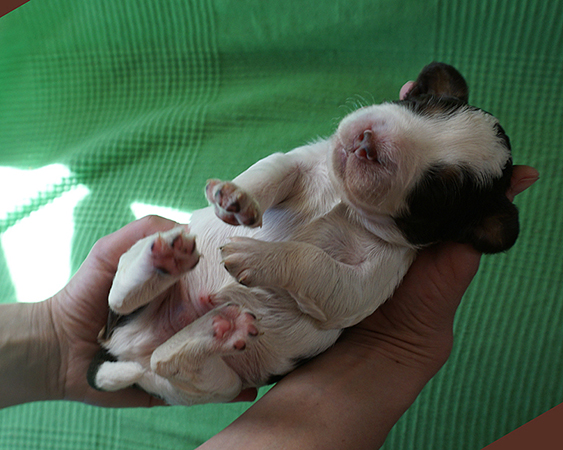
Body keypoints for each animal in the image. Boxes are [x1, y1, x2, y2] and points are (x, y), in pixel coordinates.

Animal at [87, 62, 520, 404]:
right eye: (419, 106)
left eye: (436, 190)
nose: (368, 141)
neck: (345, 200)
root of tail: (123, 353)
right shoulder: (297, 162)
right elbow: (270, 172)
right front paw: (236, 199)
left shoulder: (367, 283)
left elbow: (315, 263)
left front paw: (255, 256)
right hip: (134, 281)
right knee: (121, 296)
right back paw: (164, 260)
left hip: (214, 386)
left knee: (171, 362)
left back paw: (220, 328)